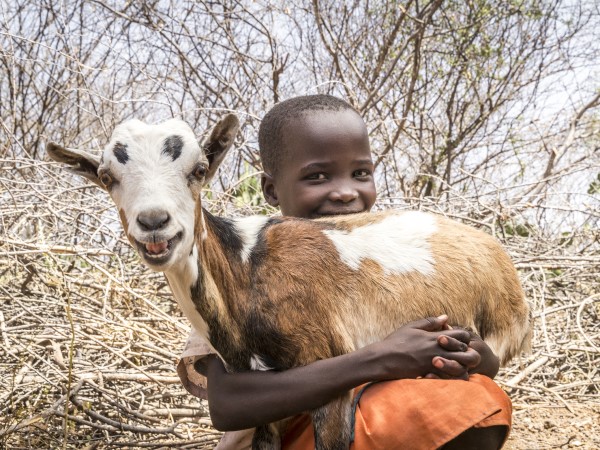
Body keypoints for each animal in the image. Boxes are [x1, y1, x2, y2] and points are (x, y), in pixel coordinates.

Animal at [49, 115, 532, 450]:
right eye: (107, 177)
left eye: (199, 169)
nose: (154, 223)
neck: (245, 268)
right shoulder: (259, 395)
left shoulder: (331, 370)